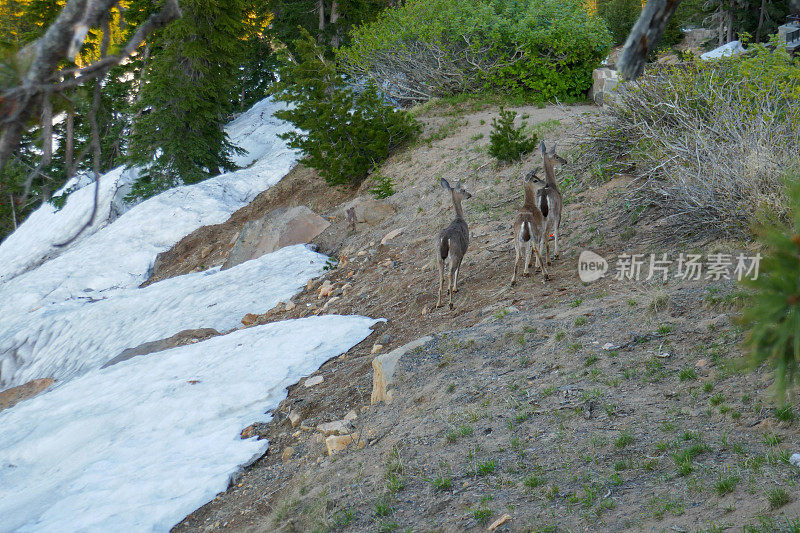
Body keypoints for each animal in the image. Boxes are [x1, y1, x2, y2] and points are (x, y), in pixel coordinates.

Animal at [434, 177, 472, 310]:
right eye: (463, 190)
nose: (470, 194)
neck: (459, 218)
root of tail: (445, 239)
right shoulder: (462, 252)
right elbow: (458, 271)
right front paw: (455, 288)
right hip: (454, 254)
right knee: (450, 274)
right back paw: (450, 303)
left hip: (439, 257)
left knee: (441, 277)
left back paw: (439, 303)